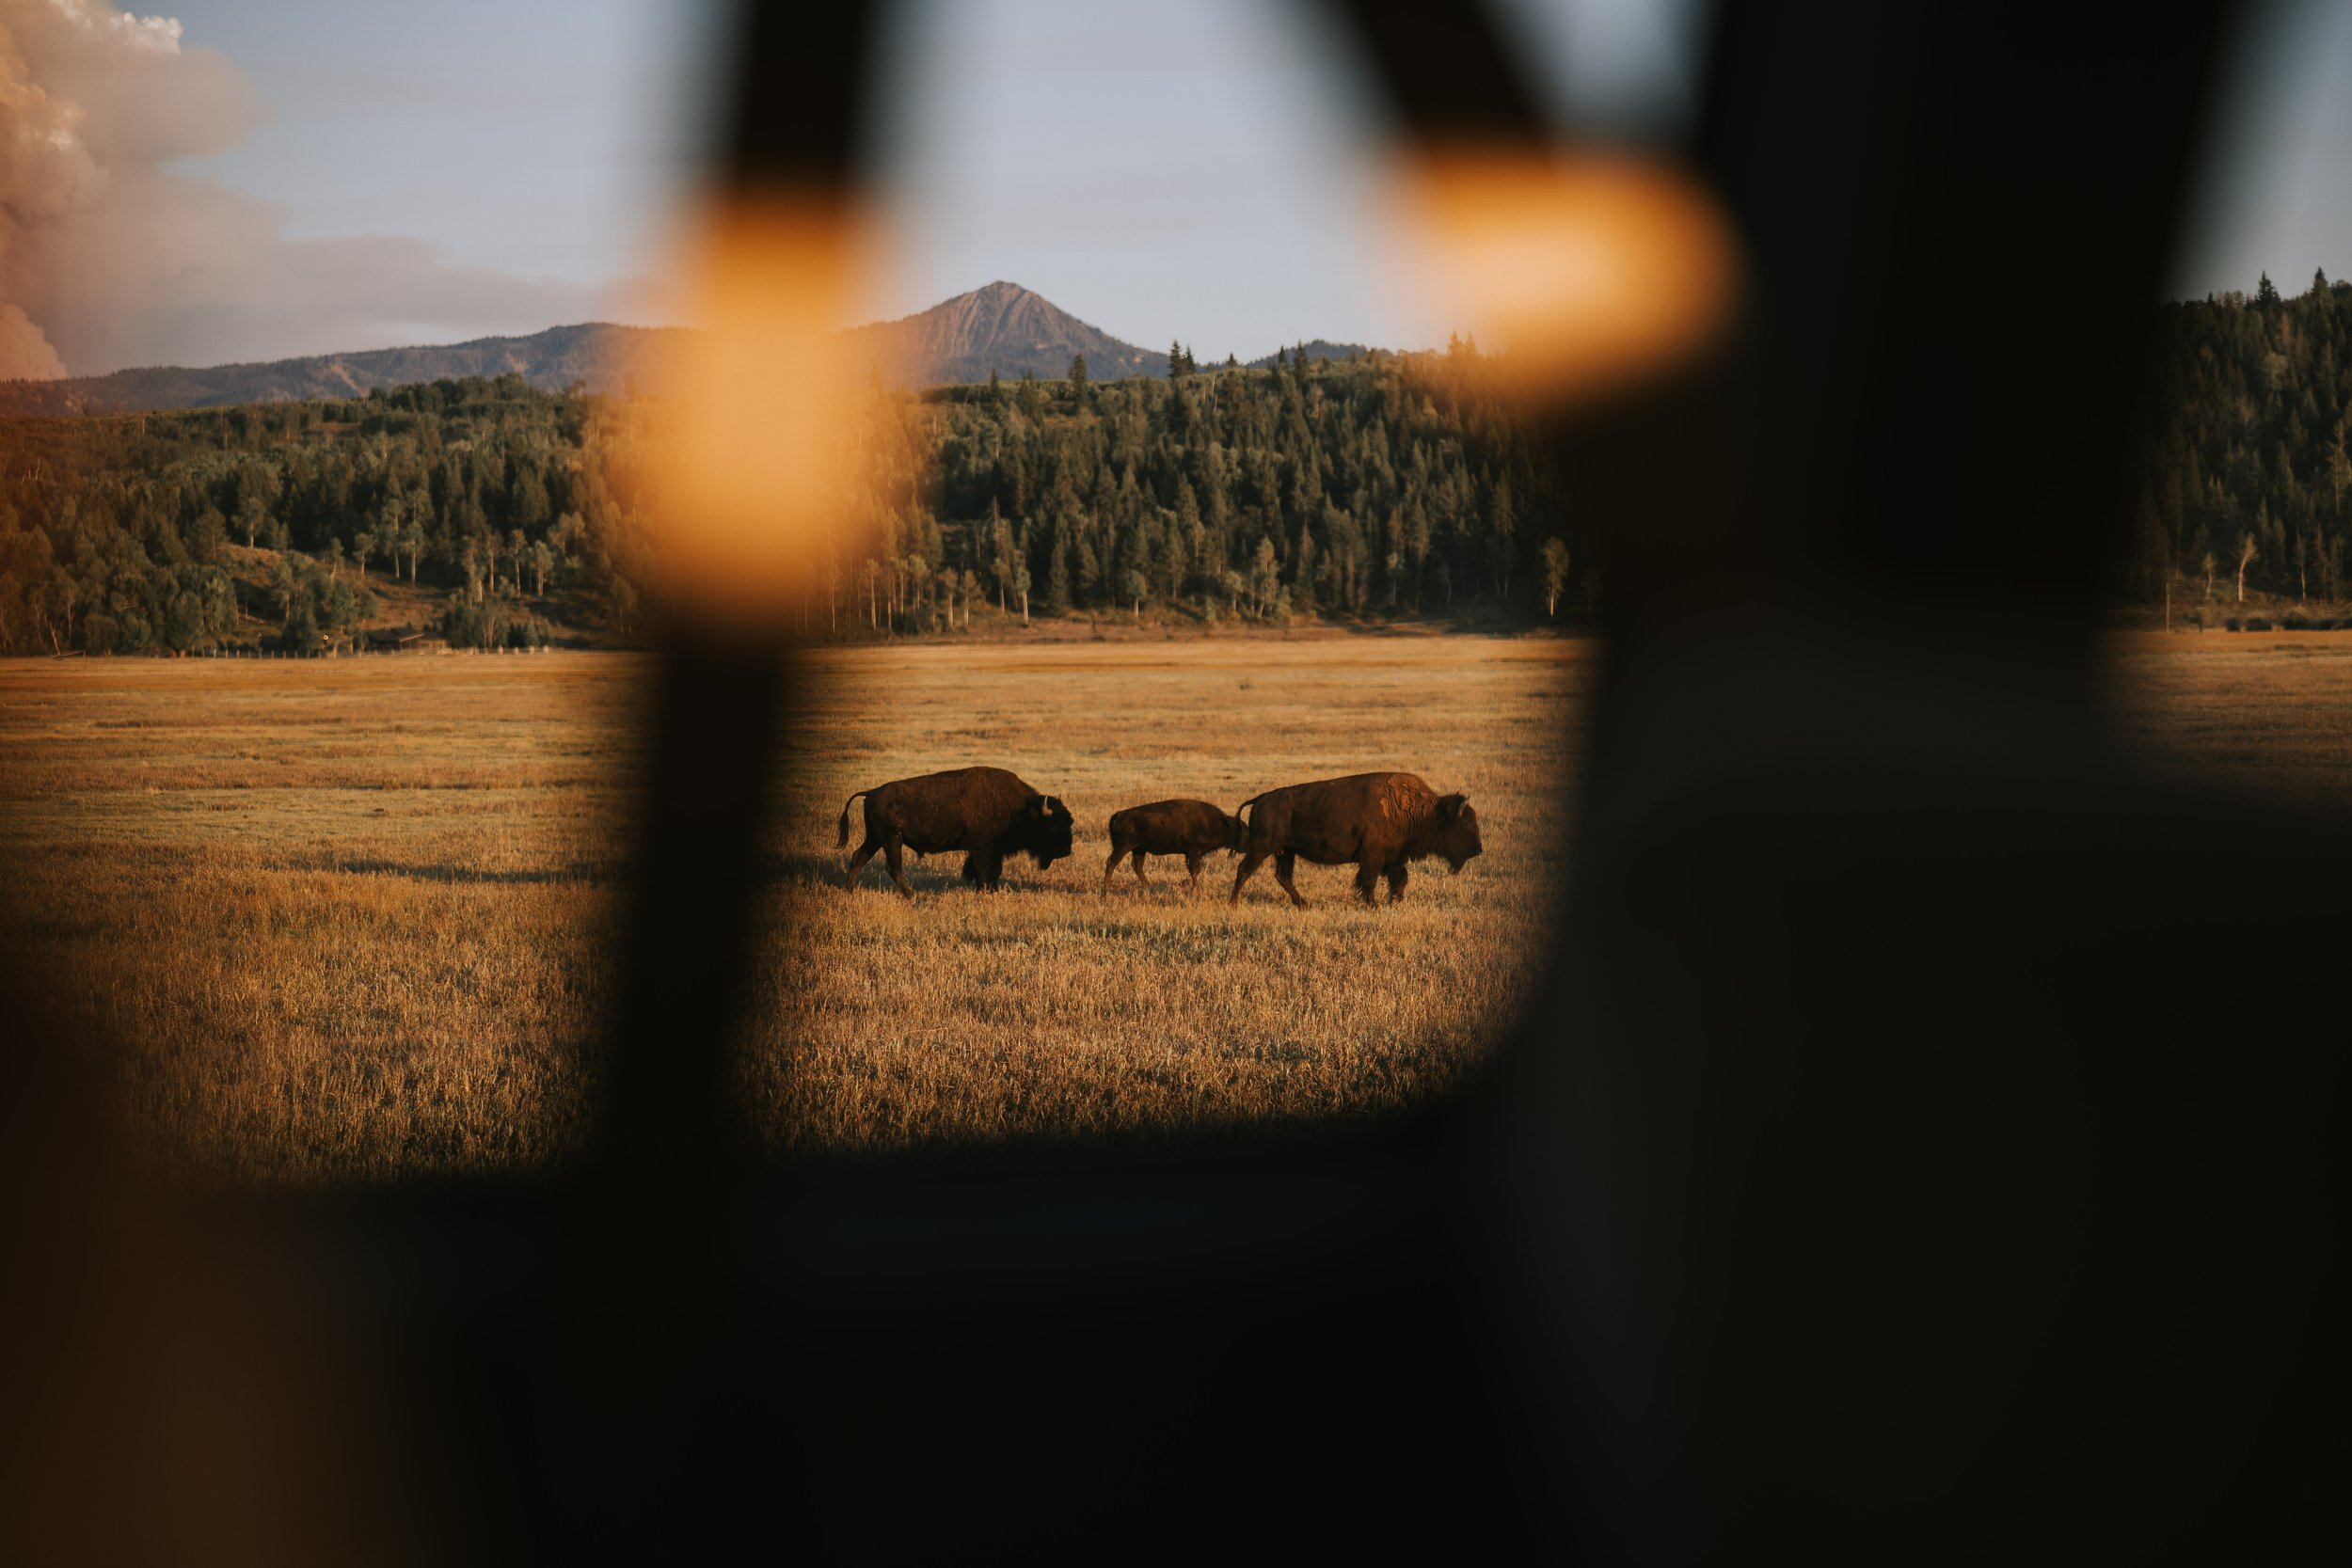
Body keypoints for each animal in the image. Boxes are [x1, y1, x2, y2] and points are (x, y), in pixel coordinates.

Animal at [837, 770, 1077, 893]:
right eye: (1055, 825)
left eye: (1069, 822)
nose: (1067, 850)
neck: (1022, 809)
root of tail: (871, 792)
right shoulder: (984, 849)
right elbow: (985, 871)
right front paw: (985, 891)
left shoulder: (991, 851)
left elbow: (989, 871)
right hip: (890, 839)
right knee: (893, 867)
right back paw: (913, 896)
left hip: (875, 838)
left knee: (858, 857)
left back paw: (849, 890)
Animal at [1101, 799, 1251, 893]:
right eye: (1243, 831)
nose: (1247, 847)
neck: (1219, 824)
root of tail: (1119, 814)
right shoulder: (1193, 852)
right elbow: (1195, 870)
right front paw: (1196, 888)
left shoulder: (1191, 854)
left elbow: (1194, 870)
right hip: (1124, 847)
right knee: (1111, 862)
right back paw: (1107, 888)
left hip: (1139, 849)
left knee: (1137, 866)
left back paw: (1150, 886)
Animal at [1223, 770, 1477, 907]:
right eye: (1465, 823)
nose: (1478, 849)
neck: (1423, 811)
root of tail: (1262, 798)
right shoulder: (1373, 857)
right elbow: (1369, 881)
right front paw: (1374, 904)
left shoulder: (1394, 858)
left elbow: (1400, 879)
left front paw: (1394, 900)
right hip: (1262, 847)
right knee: (1244, 870)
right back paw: (1233, 903)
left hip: (1286, 851)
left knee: (1283, 876)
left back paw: (1304, 904)